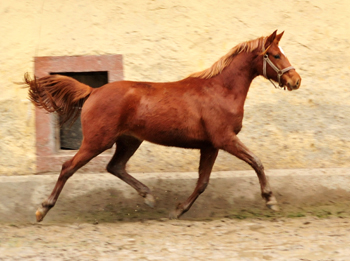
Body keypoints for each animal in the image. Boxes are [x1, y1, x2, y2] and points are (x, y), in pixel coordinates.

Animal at [25, 31, 300, 221]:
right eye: (276, 55)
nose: (295, 80)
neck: (220, 90)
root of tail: (93, 91)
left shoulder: (210, 146)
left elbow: (202, 182)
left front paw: (178, 211)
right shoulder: (224, 139)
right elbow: (257, 162)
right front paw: (271, 200)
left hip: (128, 141)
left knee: (115, 166)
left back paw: (148, 196)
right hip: (97, 141)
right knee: (68, 167)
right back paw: (42, 209)